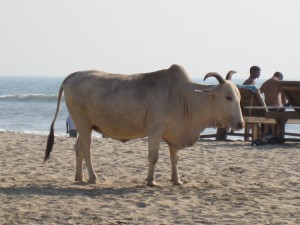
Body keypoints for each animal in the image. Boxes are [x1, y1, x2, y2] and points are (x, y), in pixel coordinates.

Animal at [44, 64, 244, 185]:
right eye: (228, 97)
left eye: (239, 96)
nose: (241, 123)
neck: (184, 97)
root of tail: (74, 75)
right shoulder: (155, 131)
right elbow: (153, 157)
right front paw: (150, 181)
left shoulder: (174, 135)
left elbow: (175, 159)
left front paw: (176, 180)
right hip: (83, 125)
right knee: (86, 149)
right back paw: (93, 178)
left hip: (82, 126)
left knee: (78, 147)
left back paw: (79, 177)